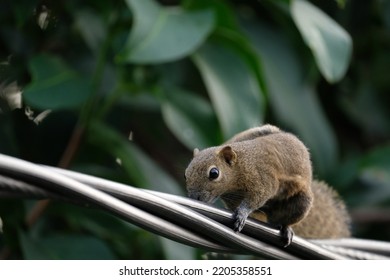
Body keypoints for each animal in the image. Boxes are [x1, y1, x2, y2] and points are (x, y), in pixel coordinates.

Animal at [184, 123, 352, 246]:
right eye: (186, 174)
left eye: (214, 173)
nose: (194, 197)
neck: (242, 164)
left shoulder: (264, 179)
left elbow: (257, 197)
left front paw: (242, 213)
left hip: (301, 203)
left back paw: (286, 229)